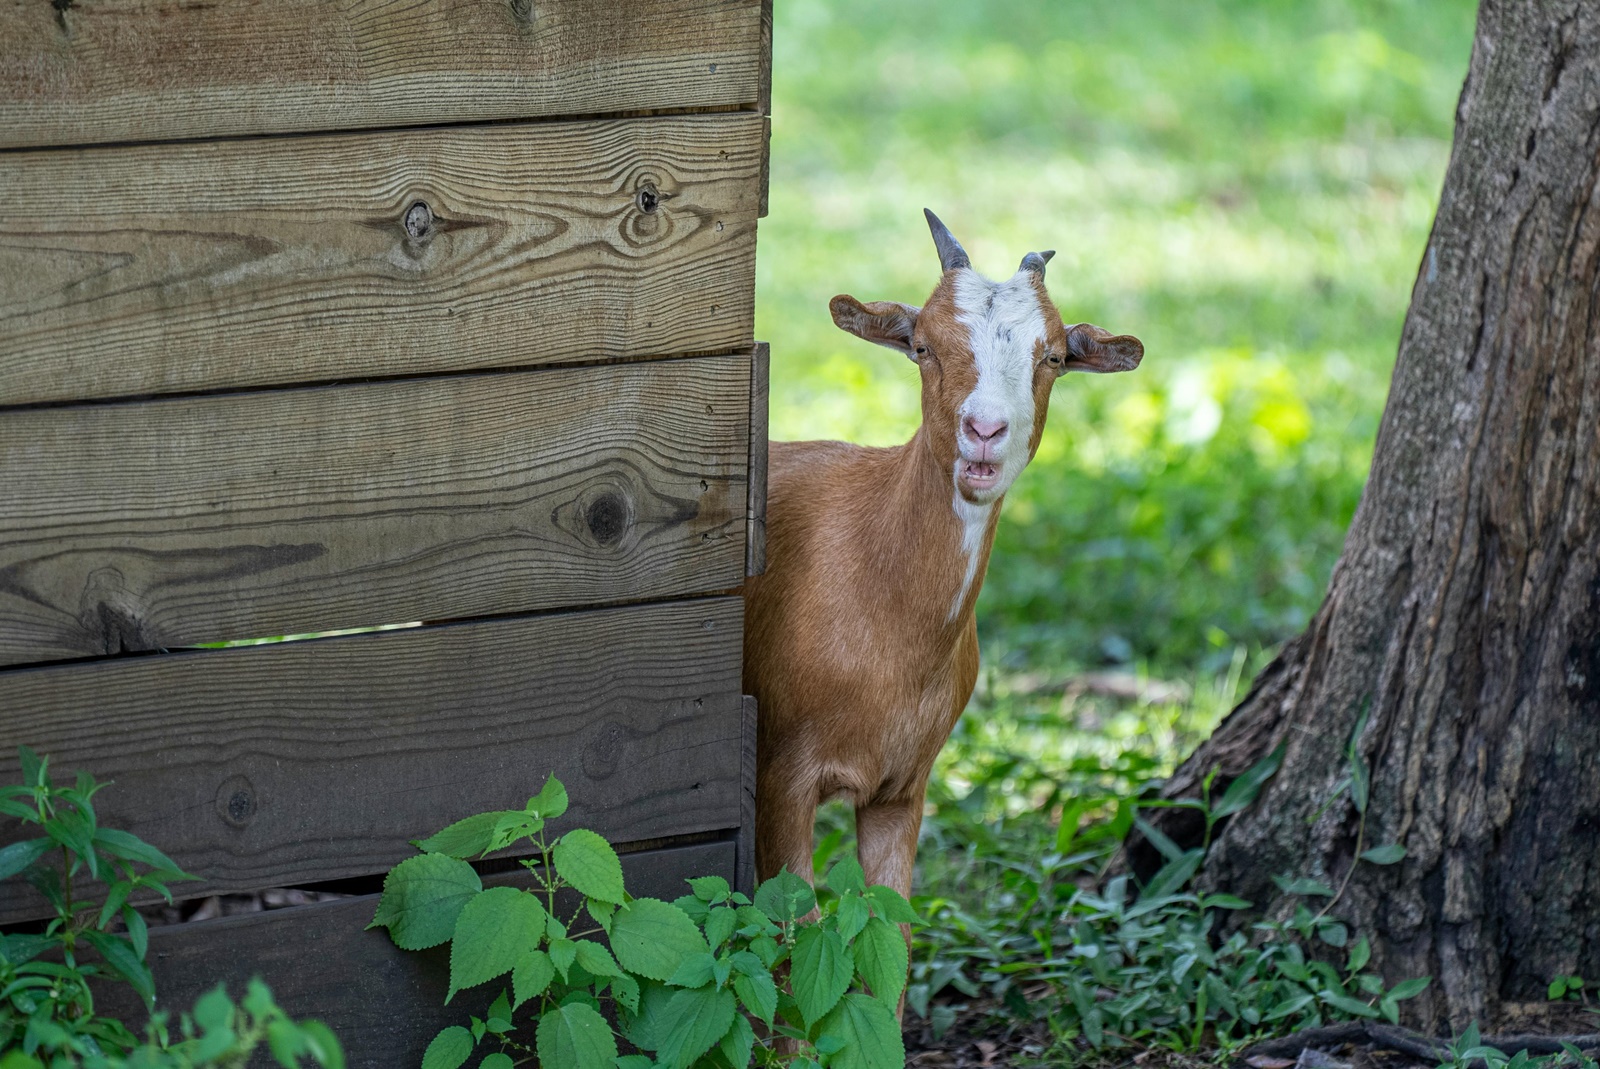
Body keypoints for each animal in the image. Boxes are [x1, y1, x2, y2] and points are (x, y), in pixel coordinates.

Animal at [742, 211, 1145, 908]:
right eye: (924, 346)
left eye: (1054, 357)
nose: (984, 431)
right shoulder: (780, 776)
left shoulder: (903, 789)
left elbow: (894, 929)